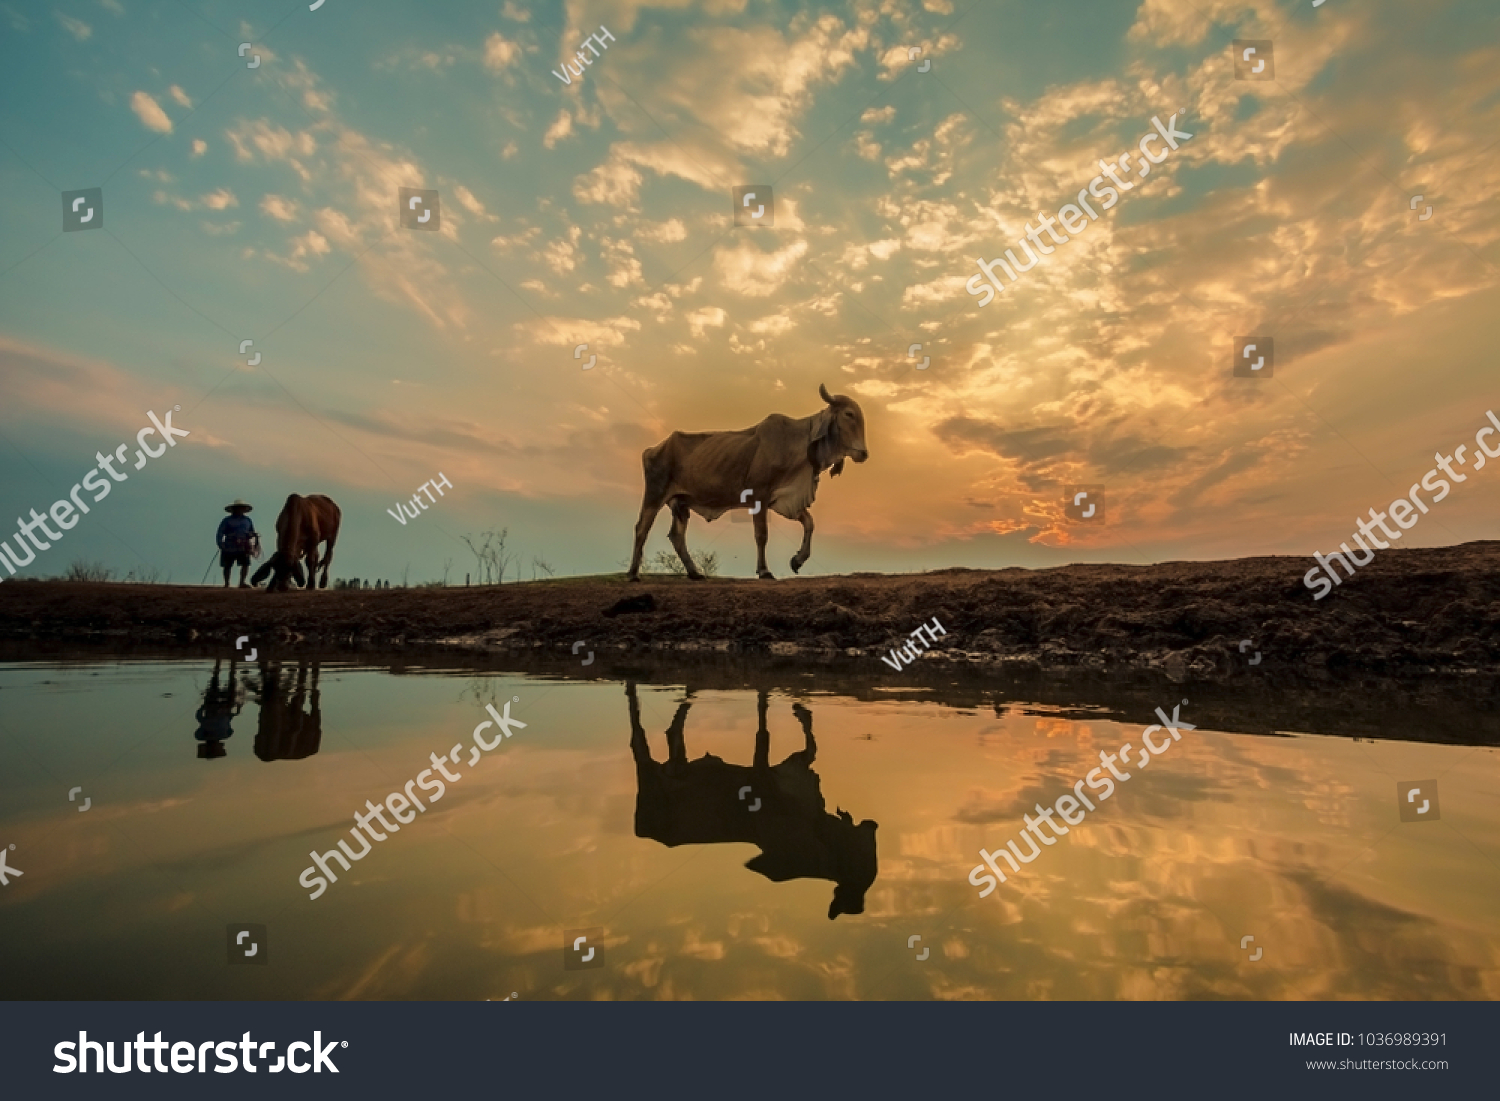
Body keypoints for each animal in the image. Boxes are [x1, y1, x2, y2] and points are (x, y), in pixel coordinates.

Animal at [626, 383, 869, 581]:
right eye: (849, 414)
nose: (864, 453)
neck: (798, 445)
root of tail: (654, 448)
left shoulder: (783, 499)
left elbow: (809, 523)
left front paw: (797, 560)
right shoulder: (759, 496)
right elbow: (762, 535)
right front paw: (764, 571)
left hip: (681, 503)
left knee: (677, 536)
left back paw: (694, 573)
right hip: (655, 495)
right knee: (642, 528)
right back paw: (633, 574)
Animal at [626, 681, 879, 920]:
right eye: (865, 863)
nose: (873, 825)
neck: (819, 828)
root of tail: (642, 829)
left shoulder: (798, 770)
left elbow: (810, 747)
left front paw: (801, 711)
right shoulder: (764, 775)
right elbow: (763, 727)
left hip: (674, 764)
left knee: (673, 737)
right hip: (648, 769)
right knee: (638, 737)